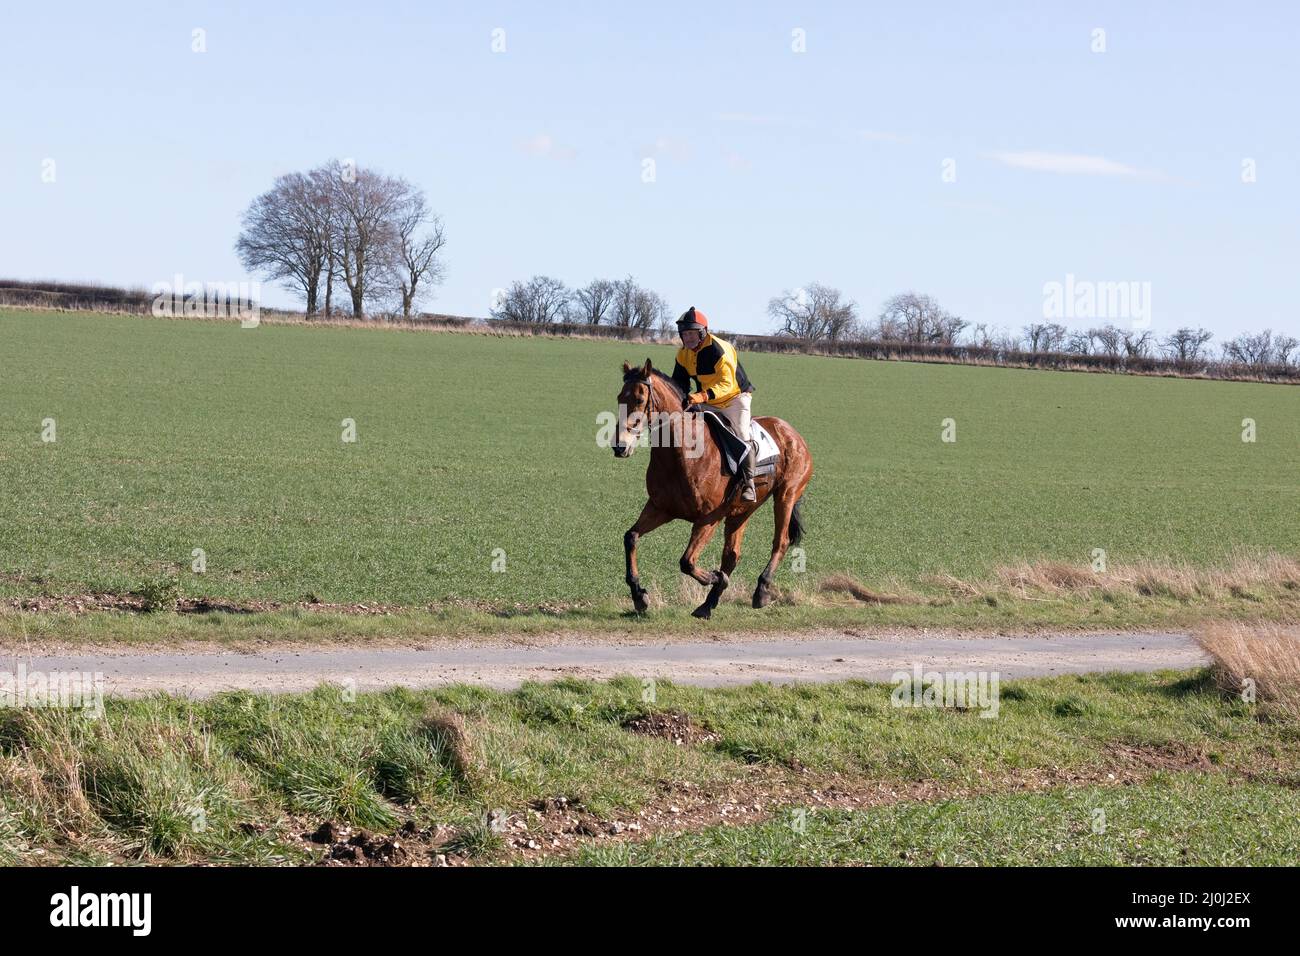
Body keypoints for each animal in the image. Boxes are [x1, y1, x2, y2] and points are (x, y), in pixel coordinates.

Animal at [611, 358, 811, 621]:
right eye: (619, 397)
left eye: (639, 398)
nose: (619, 446)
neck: (682, 453)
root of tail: (792, 432)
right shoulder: (660, 508)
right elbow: (630, 537)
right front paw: (639, 595)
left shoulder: (708, 518)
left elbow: (687, 561)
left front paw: (716, 577)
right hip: (741, 510)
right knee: (732, 554)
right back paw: (708, 604)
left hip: (786, 495)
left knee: (781, 542)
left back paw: (761, 591)